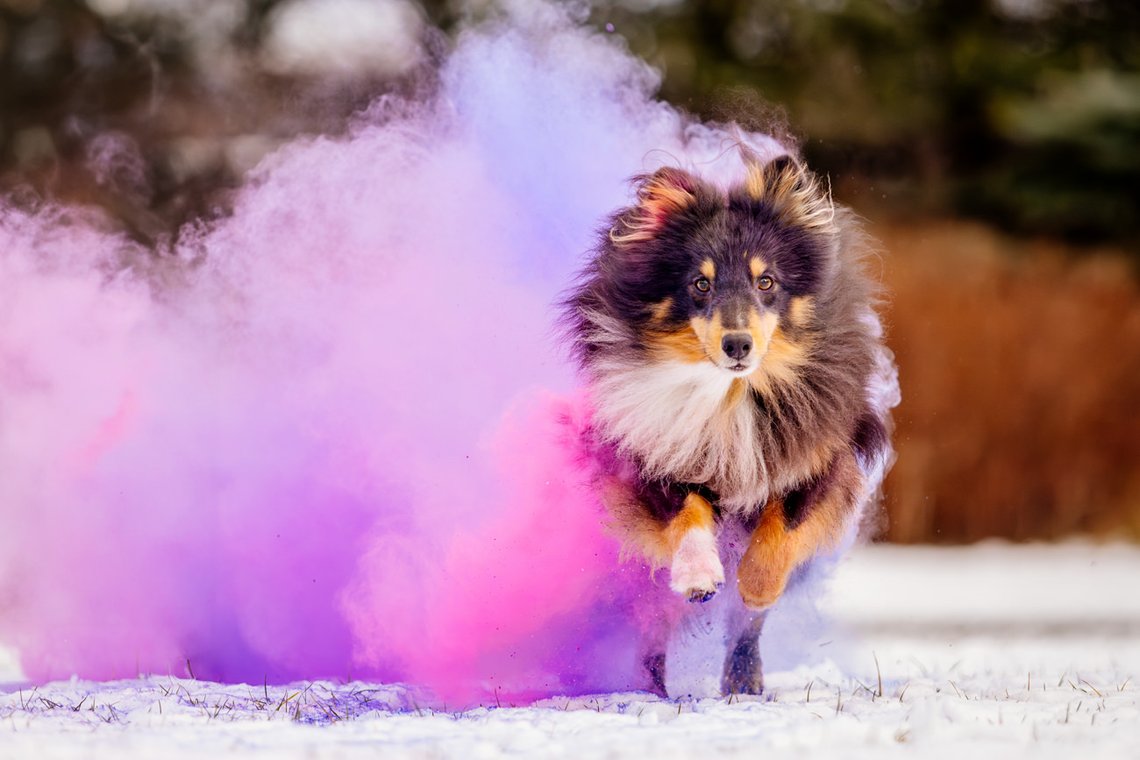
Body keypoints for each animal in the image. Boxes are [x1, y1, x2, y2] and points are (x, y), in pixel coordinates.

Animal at [565, 151, 893, 697]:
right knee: (653, 624)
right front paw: (701, 578)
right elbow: (687, 516)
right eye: (701, 284)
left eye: (767, 281)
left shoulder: (817, 456)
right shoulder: (656, 454)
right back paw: (650, 688)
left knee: (745, 628)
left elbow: (781, 525)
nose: (737, 344)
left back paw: (743, 679)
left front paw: (755, 586)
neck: (729, 396)